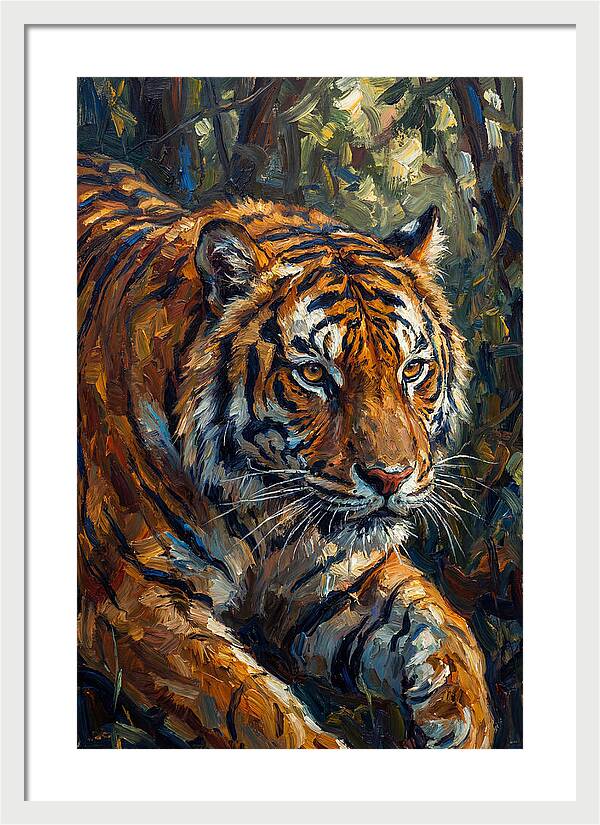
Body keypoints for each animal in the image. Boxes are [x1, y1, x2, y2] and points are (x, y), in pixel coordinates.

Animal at [77, 152, 493, 749]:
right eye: (315, 375)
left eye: (413, 370)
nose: (391, 478)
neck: (262, 515)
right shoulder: (132, 600)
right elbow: (254, 710)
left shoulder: (343, 579)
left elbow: (447, 633)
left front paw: (463, 727)